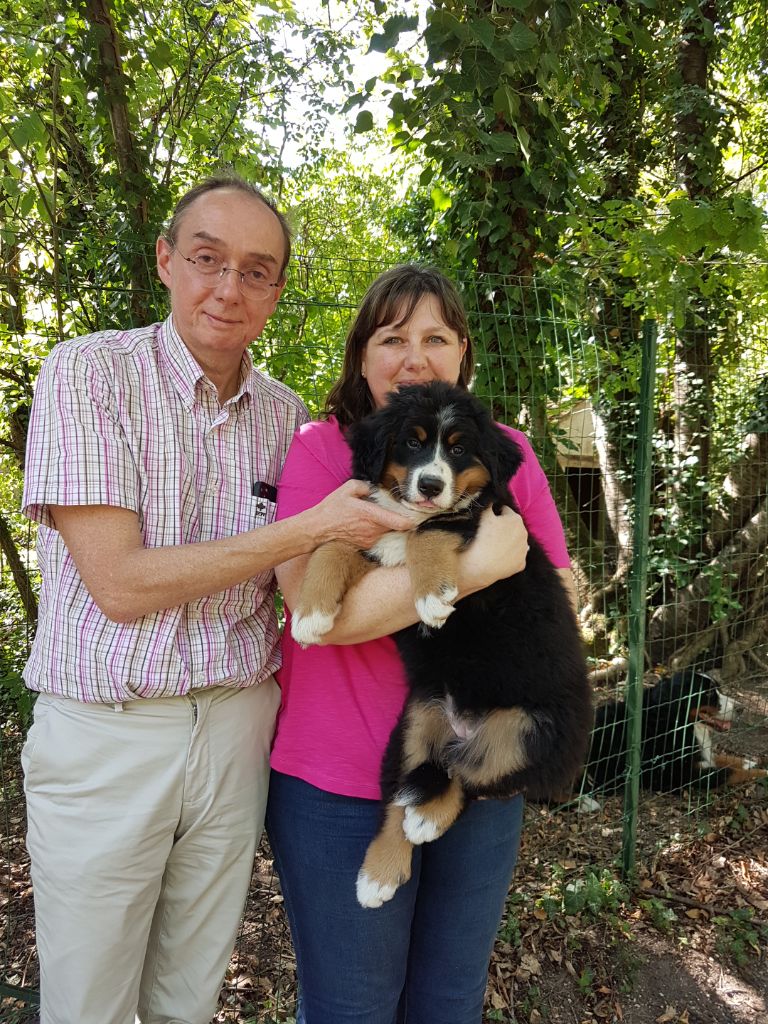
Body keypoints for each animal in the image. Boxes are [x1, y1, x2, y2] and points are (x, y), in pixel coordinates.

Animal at [578, 668, 767, 808]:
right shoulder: (681, 773)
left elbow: (722, 758)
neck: (674, 722)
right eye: (707, 694)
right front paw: (762, 772)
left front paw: (749, 762)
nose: (741, 708)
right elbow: (731, 773)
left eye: (718, 690)